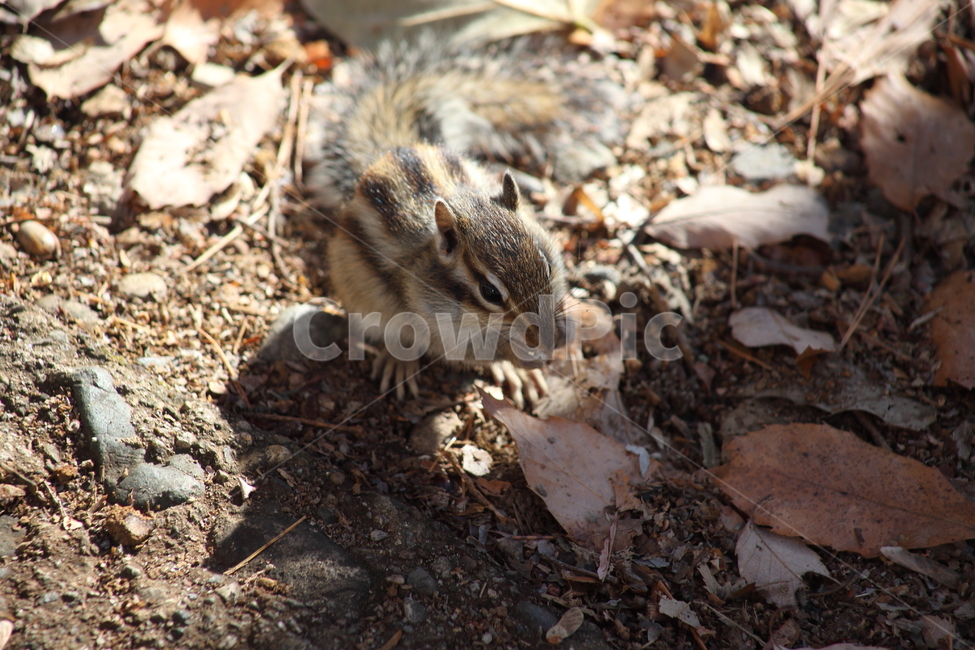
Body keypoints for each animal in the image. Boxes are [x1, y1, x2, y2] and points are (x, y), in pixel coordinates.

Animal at [304, 37, 623, 406]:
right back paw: (400, 363)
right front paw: (519, 360)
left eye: (546, 266)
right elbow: (462, 352)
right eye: (490, 292)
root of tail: (390, 151)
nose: (544, 338)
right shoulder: (439, 325)